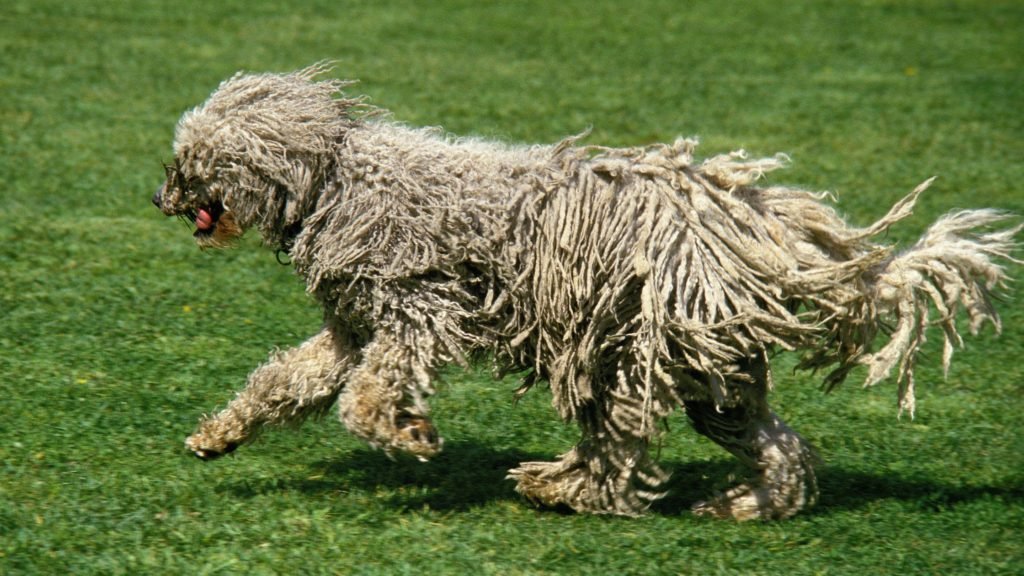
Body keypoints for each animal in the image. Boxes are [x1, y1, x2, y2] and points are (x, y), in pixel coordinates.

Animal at [155, 65, 1019, 518]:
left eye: (195, 159)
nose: (160, 195)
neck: (335, 179)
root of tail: (763, 227)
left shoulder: (419, 308)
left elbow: (365, 398)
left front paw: (411, 435)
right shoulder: (352, 326)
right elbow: (287, 380)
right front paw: (219, 434)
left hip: (640, 346)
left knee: (623, 443)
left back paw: (563, 484)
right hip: (712, 368)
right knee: (775, 445)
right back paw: (745, 502)